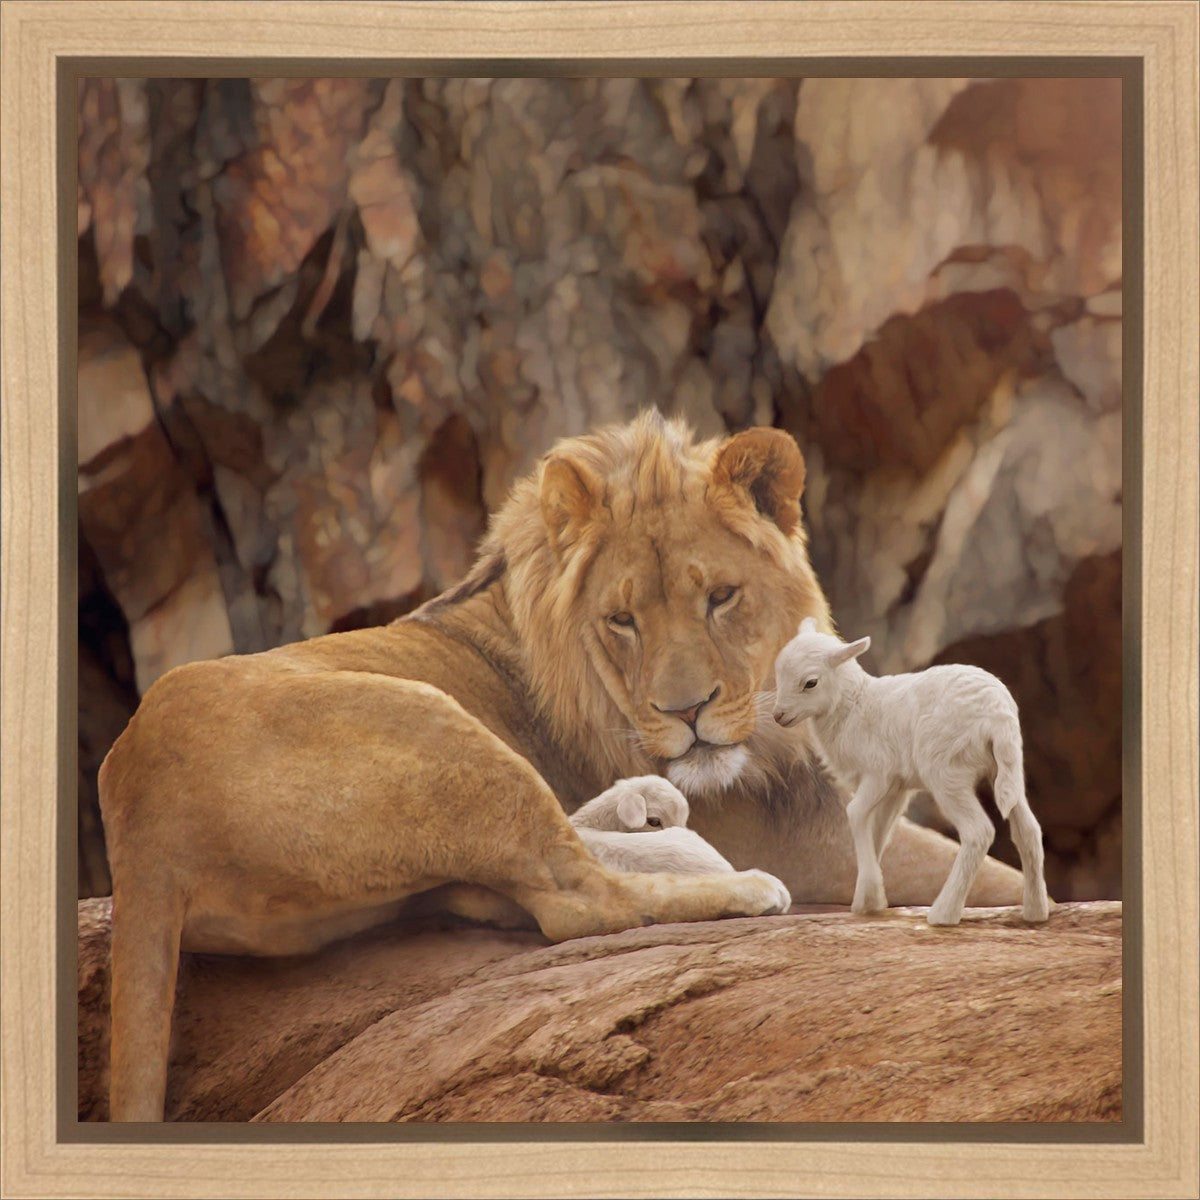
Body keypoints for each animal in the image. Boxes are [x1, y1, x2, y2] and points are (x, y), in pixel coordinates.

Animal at [772, 618, 1050, 927]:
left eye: (810, 682)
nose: (778, 716)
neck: (854, 706)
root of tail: (998, 715)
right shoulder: (896, 787)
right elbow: (879, 830)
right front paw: (868, 899)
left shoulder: (878, 773)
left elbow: (855, 814)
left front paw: (869, 895)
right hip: (1006, 768)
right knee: (1028, 830)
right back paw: (1035, 911)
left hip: (946, 771)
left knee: (978, 832)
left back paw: (943, 913)